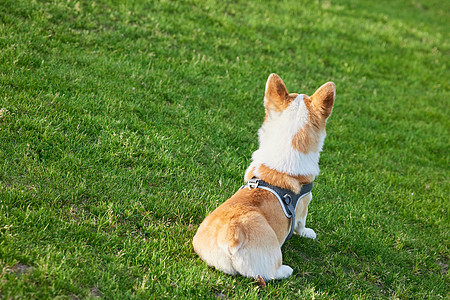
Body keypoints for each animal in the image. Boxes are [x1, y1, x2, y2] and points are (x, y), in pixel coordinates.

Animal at [192, 73, 336, 282]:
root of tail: (231, 237)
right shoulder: (305, 202)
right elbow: (301, 223)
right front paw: (307, 233)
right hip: (271, 257)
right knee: (270, 273)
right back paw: (286, 270)